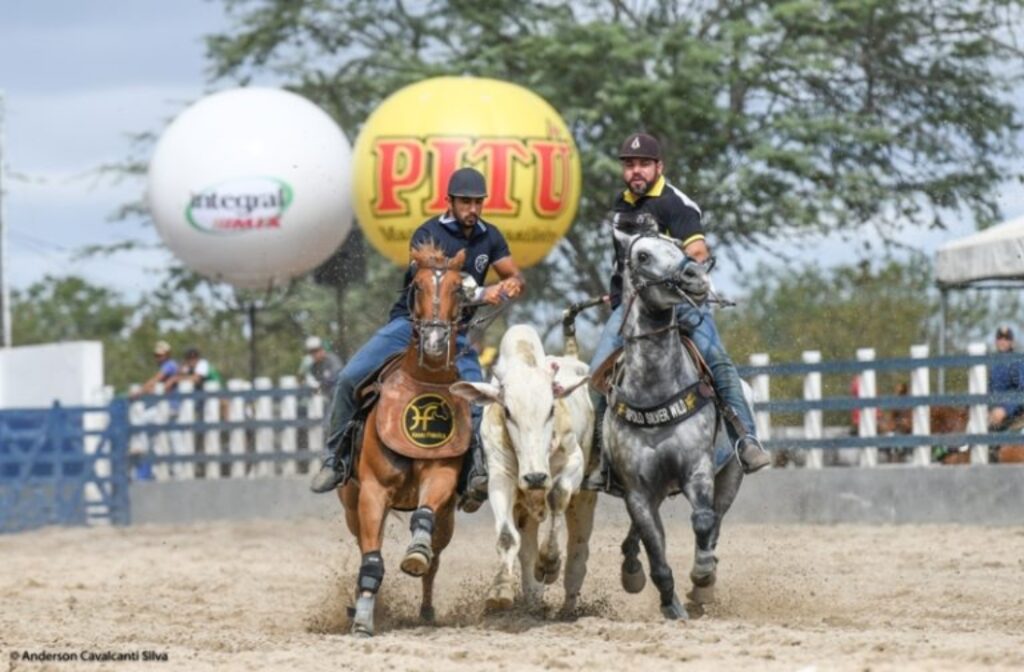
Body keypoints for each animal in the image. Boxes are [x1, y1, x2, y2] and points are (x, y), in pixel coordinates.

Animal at [342, 241, 473, 635]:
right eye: (417, 286)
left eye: (458, 289)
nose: (434, 340)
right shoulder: (372, 490)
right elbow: (371, 560)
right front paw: (363, 619)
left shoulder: (441, 475)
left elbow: (424, 522)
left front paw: (415, 554)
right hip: (351, 504)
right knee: (365, 547)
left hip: (447, 520)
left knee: (435, 559)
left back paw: (426, 609)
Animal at [452, 323, 598, 610]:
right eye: (508, 412)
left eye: (551, 409)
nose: (535, 478)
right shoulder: (501, 478)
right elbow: (507, 536)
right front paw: (500, 590)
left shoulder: (573, 462)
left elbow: (557, 495)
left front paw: (549, 563)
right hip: (523, 511)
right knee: (527, 548)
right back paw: (533, 599)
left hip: (585, 498)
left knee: (579, 549)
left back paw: (567, 605)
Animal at [606, 224, 745, 618]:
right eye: (642, 255)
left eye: (680, 248)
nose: (696, 277)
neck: (654, 390)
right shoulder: (637, 491)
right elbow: (656, 551)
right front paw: (669, 605)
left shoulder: (697, 469)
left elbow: (702, 521)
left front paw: (701, 574)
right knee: (642, 535)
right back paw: (631, 568)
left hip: (730, 476)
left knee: (715, 522)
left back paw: (703, 586)